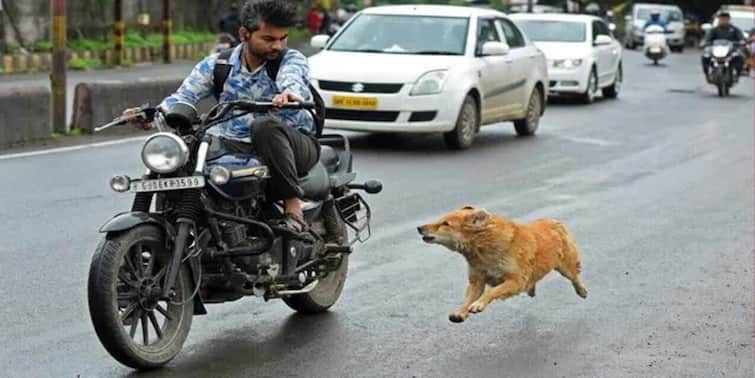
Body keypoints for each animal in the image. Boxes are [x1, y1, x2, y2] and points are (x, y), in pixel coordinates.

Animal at [416, 205, 588, 324]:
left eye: (445, 224)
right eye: (441, 220)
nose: (419, 228)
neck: (482, 246)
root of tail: (554, 221)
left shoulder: (515, 280)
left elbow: (491, 292)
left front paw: (478, 304)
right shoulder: (476, 280)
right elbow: (469, 297)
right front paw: (461, 312)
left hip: (566, 265)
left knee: (575, 276)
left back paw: (582, 291)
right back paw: (531, 289)